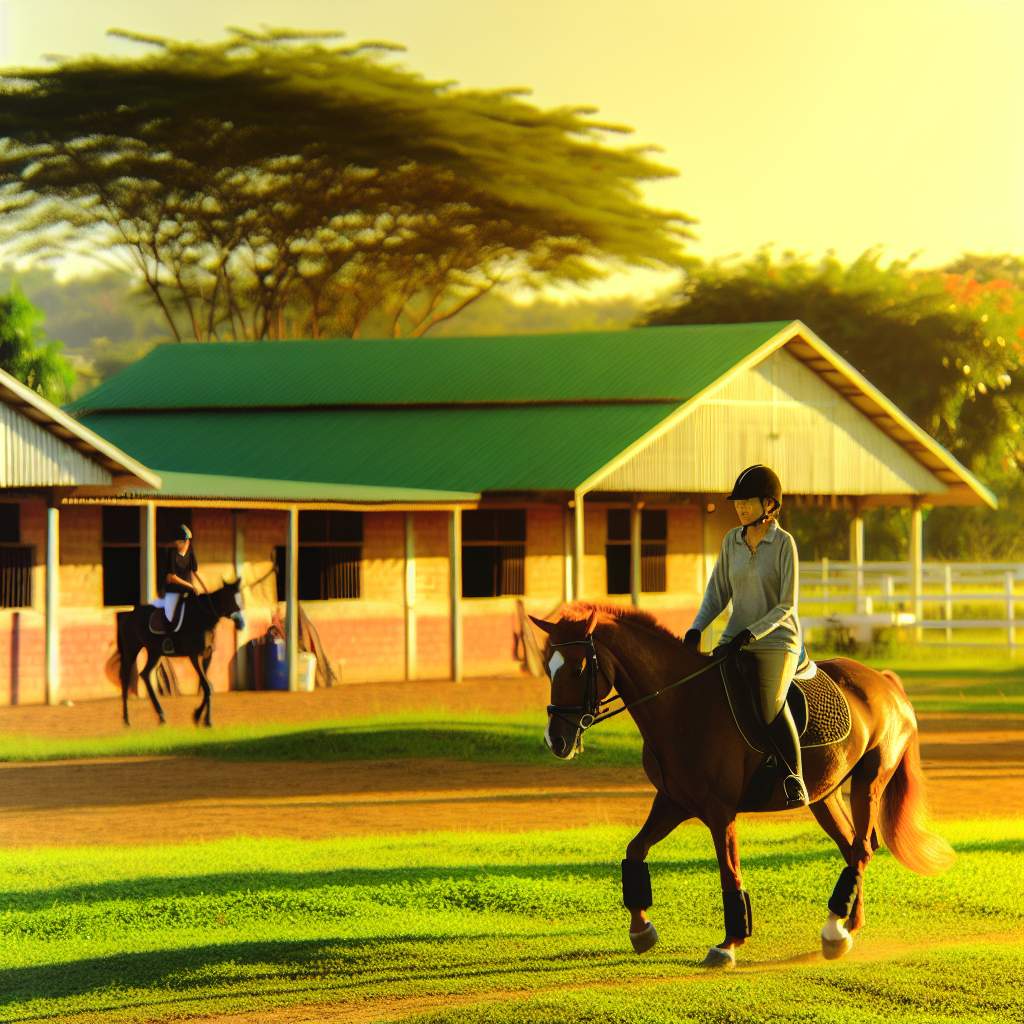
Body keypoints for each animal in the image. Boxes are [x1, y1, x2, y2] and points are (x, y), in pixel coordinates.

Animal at [115, 585, 244, 729]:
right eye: (230, 598)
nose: (241, 623)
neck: (203, 617)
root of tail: (128, 615)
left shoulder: (207, 656)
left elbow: (208, 686)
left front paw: (198, 716)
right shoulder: (194, 656)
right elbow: (206, 686)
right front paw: (206, 720)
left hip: (154, 652)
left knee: (145, 674)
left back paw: (161, 716)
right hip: (131, 649)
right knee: (126, 678)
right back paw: (127, 720)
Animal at [532, 598, 954, 966]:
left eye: (578, 669)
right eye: (549, 668)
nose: (556, 741)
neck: (681, 703)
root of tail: (883, 682)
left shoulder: (720, 812)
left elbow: (729, 872)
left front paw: (729, 945)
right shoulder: (672, 802)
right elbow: (635, 851)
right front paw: (641, 930)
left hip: (868, 783)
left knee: (862, 849)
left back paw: (839, 929)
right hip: (825, 795)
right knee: (853, 848)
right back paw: (843, 928)